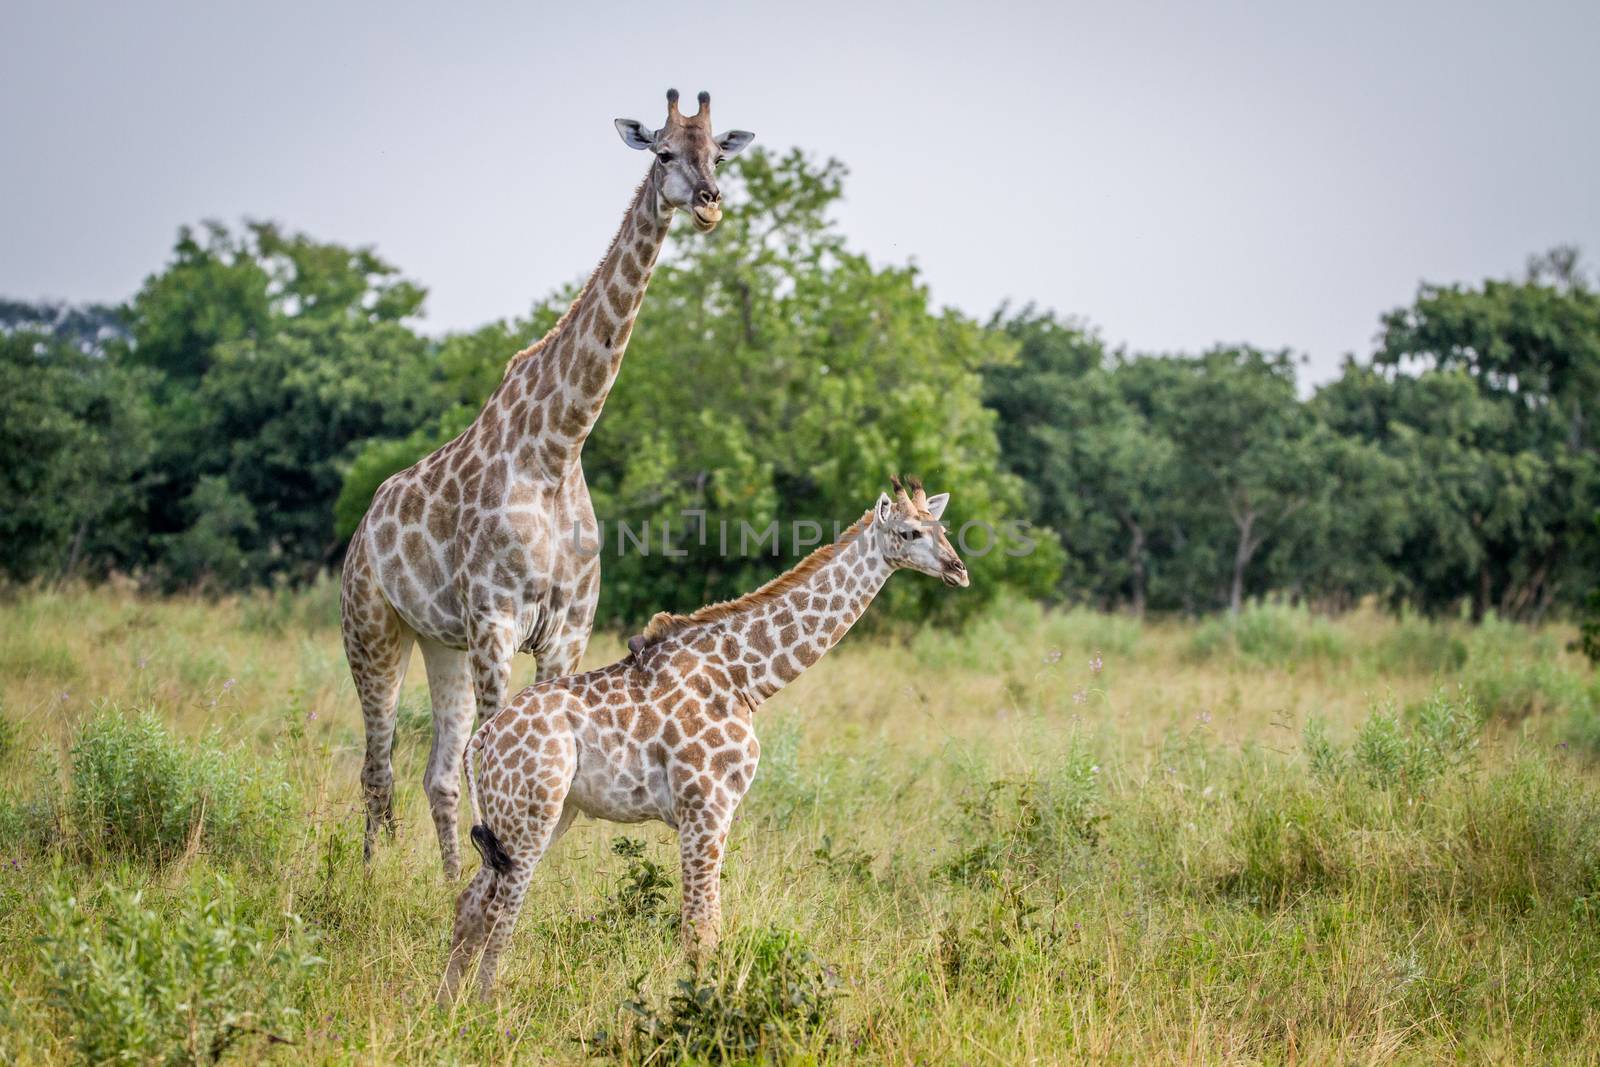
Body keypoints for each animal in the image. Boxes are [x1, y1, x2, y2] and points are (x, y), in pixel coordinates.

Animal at [340, 89, 752, 876]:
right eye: (663, 153)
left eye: (718, 153)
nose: (710, 204)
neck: (559, 447)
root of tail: (362, 529)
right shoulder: (497, 621)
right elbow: (497, 752)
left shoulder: (566, 632)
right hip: (372, 630)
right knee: (377, 766)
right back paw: (367, 877)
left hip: (440, 642)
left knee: (436, 772)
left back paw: (444, 879)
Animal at [438, 479, 960, 1004]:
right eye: (910, 532)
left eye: (944, 529)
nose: (958, 569)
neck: (746, 678)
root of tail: (483, 736)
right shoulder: (706, 806)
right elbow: (701, 929)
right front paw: (704, 1009)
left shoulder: (712, 811)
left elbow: (703, 925)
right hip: (532, 808)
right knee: (502, 909)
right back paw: (487, 1008)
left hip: (537, 813)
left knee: (471, 901)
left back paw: (448, 1006)